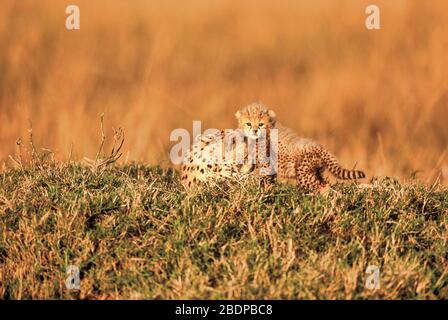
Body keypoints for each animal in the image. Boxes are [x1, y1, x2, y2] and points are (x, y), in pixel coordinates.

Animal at [234, 102, 364, 192]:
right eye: (248, 124)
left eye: (261, 124)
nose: (255, 131)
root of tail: (319, 148)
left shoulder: (267, 164)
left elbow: (264, 179)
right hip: (315, 171)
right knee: (324, 184)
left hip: (303, 174)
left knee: (321, 187)